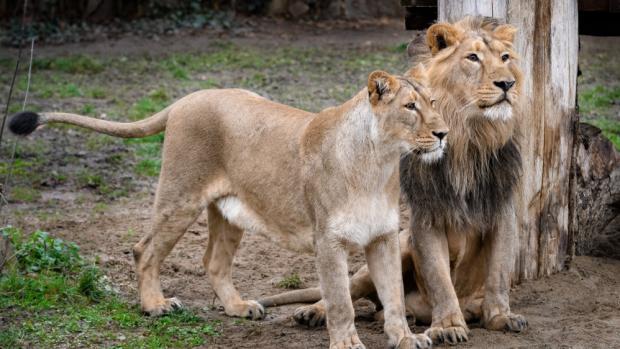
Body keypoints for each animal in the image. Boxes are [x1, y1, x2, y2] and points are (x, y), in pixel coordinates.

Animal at [9, 68, 446, 348]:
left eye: (433, 101)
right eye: (410, 107)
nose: (443, 133)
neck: (379, 163)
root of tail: (186, 98)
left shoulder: (384, 238)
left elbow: (393, 298)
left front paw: (406, 338)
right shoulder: (329, 241)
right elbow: (340, 302)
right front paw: (347, 344)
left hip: (229, 212)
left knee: (213, 262)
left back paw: (239, 308)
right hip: (180, 195)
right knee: (144, 249)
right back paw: (156, 306)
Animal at [262, 15, 528, 342]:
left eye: (505, 58)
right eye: (473, 58)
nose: (507, 84)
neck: (470, 139)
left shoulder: (502, 207)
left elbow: (499, 272)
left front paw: (501, 316)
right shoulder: (426, 215)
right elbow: (439, 277)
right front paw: (449, 325)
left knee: (380, 304)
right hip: (398, 246)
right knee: (348, 289)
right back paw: (314, 312)